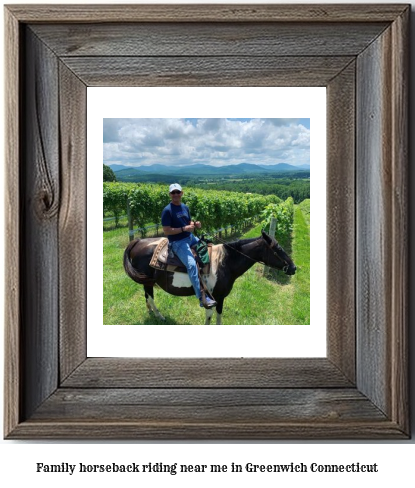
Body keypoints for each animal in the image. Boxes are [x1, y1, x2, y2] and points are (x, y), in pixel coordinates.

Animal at [123, 232, 296, 326]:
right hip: (148, 281)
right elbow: (209, 316)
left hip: (147, 282)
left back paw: (151, 312)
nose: (294, 268)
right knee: (151, 297)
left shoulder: (221, 297)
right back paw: (160, 316)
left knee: (147, 296)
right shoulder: (212, 297)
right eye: (278, 249)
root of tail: (138, 241)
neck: (225, 262)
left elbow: (219, 316)